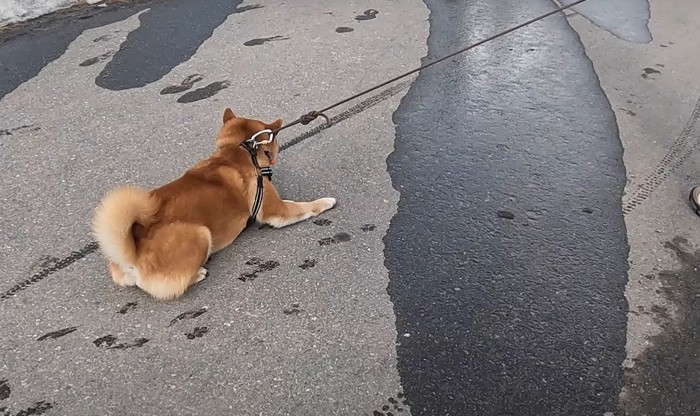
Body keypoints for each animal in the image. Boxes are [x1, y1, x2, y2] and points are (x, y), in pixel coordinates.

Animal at [91, 108, 338, 300]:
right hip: (200, 233)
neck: (240, 151)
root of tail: (132, 255)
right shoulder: (277, 210)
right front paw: (325, 202)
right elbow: (304, 206)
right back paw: (198, 273)